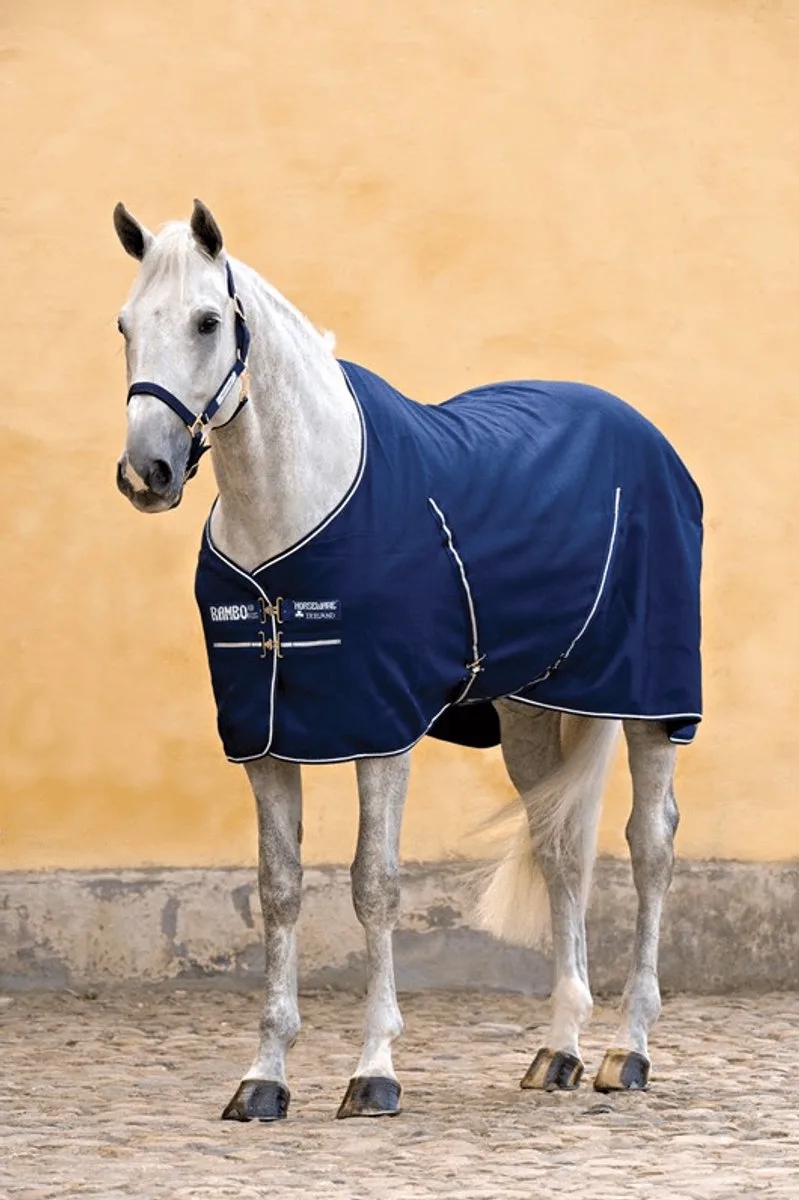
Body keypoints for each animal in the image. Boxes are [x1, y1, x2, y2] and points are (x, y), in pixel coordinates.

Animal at [113, 199, 702, 1121]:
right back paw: (557, 1050)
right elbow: (278, 889)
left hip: (649, 701)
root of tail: (638, 428)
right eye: (125, 326)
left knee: (649, 846)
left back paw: (627, 1050)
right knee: (561, 849)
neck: (291, 513)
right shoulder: (263, 738)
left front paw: (374, 1069)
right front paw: (264, 1077)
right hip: (531, 711)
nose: (147, 472)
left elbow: (374, 884)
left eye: (208, 321)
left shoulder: (380, 727)